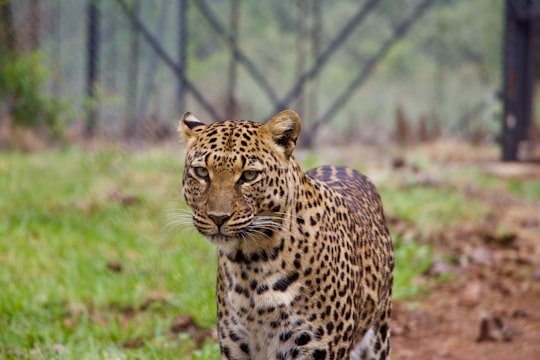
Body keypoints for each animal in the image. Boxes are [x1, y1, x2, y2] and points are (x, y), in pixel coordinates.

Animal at [179, 110, 394, 360]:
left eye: (249, 175)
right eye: (202, 171)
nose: (218, 217)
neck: (251, 265)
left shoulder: (319, 349)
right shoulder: (235, 347)